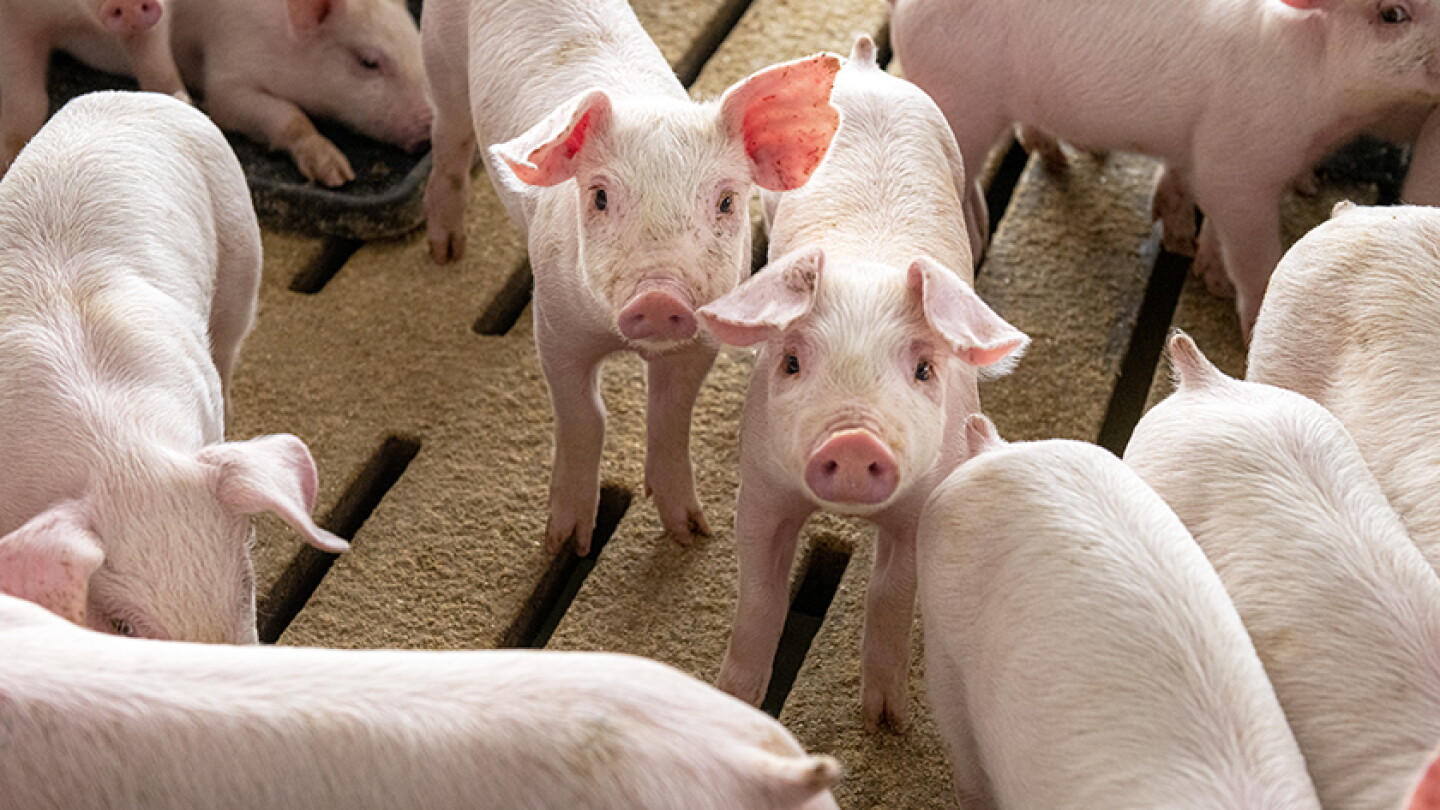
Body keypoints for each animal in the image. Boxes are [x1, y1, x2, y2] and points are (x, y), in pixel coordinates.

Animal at [0, 0, 185, 171]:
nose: (129, 4)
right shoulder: (11, 21)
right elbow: (26, 99)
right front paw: (6, 165)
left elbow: (157, 70)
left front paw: (181, 100)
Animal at [58, 0, 432, 187]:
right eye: (368, 62)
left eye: (418, 43)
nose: (429, 129)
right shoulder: (227, 77)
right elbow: (285, 116)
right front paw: (336, 174)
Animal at [421, 0, 843, 554]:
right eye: (600, 196)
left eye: (727, 201)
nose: (660, 297)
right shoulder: (554, 325)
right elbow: (584, 416)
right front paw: (565, 544)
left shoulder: (701, 338)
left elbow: (670, 416)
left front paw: (690, 534)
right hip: (440, 58)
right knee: (447, 137)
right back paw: (445, 253)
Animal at [696, 36, 1029, 731]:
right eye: (791, 362)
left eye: (925, 368)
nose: (852, 441)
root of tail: (864, 64)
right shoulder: (761, 483)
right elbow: (760, 595)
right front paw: (735, 697)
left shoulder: (924, 495)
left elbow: (889, 591)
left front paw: (886, 721)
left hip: (950, 145)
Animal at [891, 0, 1440, 338]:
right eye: (1392, 13)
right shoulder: (1236, 158)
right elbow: (1254, 253)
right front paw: (1250, 323)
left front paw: (1205, 268)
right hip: (958, 93)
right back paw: (976, 237)